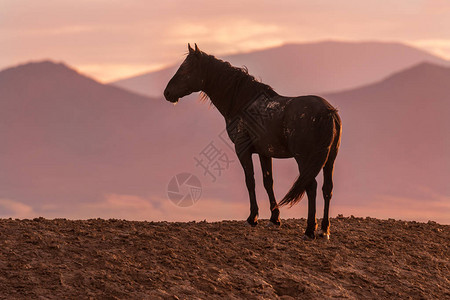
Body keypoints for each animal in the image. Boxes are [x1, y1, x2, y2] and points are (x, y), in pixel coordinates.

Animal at [163, 43, 342, 239]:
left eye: (185, 68)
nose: (167, 93)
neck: (243, 102)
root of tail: (328, 112)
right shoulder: (265, 153)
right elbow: (268, 182)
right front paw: (274, 219)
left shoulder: (242, 149)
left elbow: (250, 181)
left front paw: (252, 218)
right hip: (329, 160)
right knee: (327, 188)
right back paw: (324, 230)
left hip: (305, 159)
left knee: (311, 187)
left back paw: (310, 230)